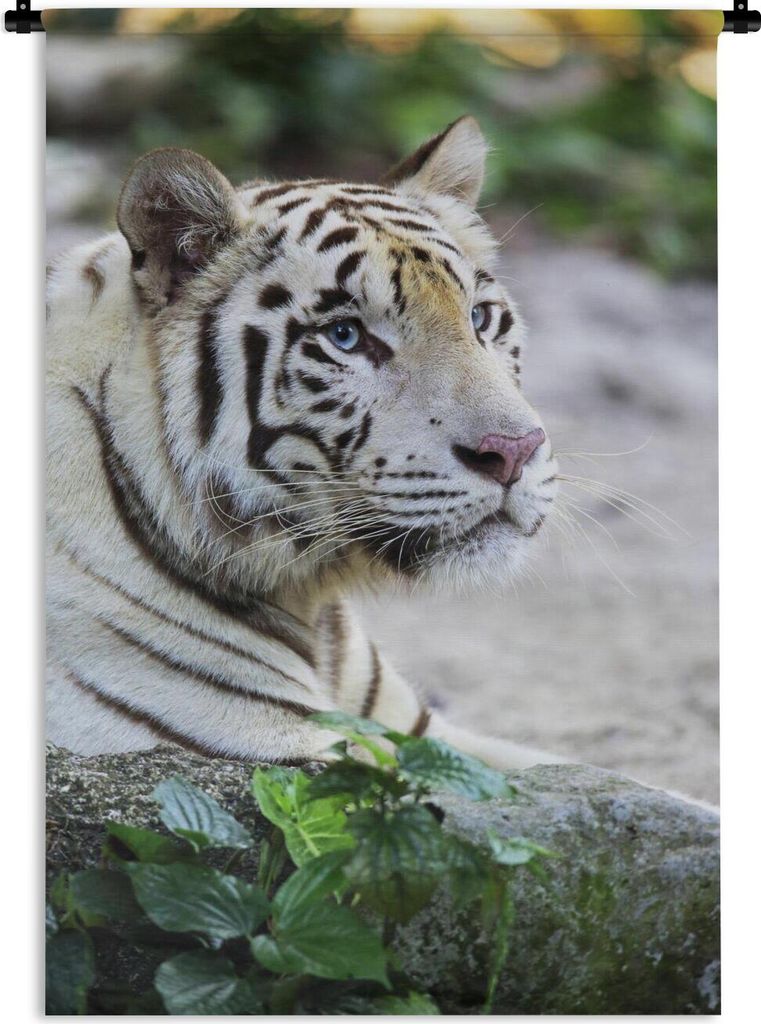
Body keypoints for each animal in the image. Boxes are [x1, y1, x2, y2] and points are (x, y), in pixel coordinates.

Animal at [46, 116, 563, 769]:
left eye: (479, 318)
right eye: (345, 336)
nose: (514, 452)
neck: (309, 596)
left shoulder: (419, 733)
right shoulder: (289, 754)